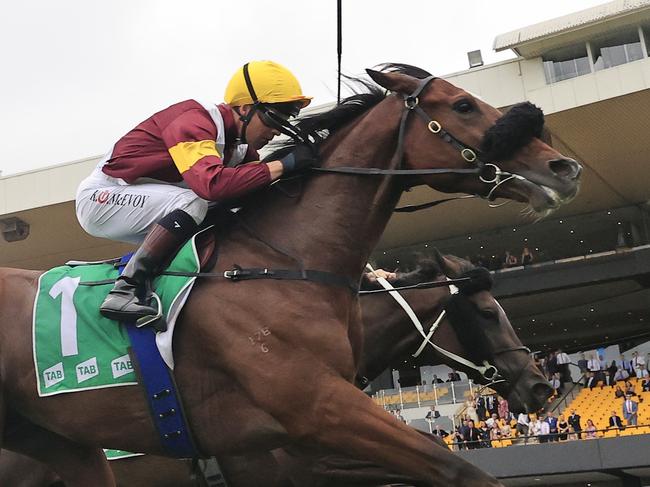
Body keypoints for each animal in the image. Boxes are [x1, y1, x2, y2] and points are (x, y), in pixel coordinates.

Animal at [0, 63, 576, 486]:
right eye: (462, 105)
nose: (563, 168)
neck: (287, 264)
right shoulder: (317, 413)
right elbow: (460, 469)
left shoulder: (285, 454)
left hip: (65, 446)